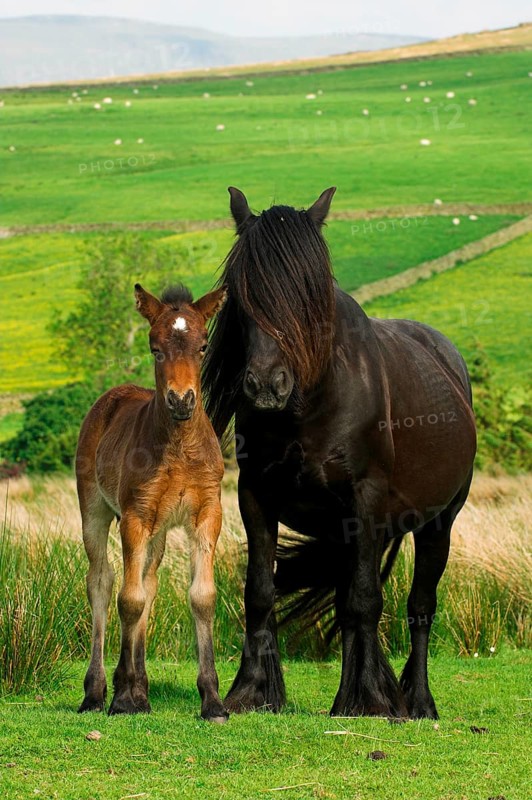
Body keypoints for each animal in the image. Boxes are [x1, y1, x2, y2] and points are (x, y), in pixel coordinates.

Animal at [75, 282, 229, 722]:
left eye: (203, 345)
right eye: (154, 348)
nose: (181, 400)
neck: (178, 448)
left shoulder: (208, 512)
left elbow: (201, 596)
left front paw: (213, 701)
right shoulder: (135, 515)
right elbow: (128, 599)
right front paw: (121, 699)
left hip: (159, 531)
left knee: (149, 582)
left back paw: (139, 689)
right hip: (94, 510)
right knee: (102, 582)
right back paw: (98, 692)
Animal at [202, 187, 476, 719]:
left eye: (308, 294)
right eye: (243, 294)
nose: (266, 386)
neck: (310, 407)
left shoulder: (364, 501)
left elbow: (366, 600)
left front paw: (371, 699)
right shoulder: (256, 497)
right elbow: (261, 592)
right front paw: (253, 692)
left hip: (439, 524)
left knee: (419, 608)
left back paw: (416, 702)